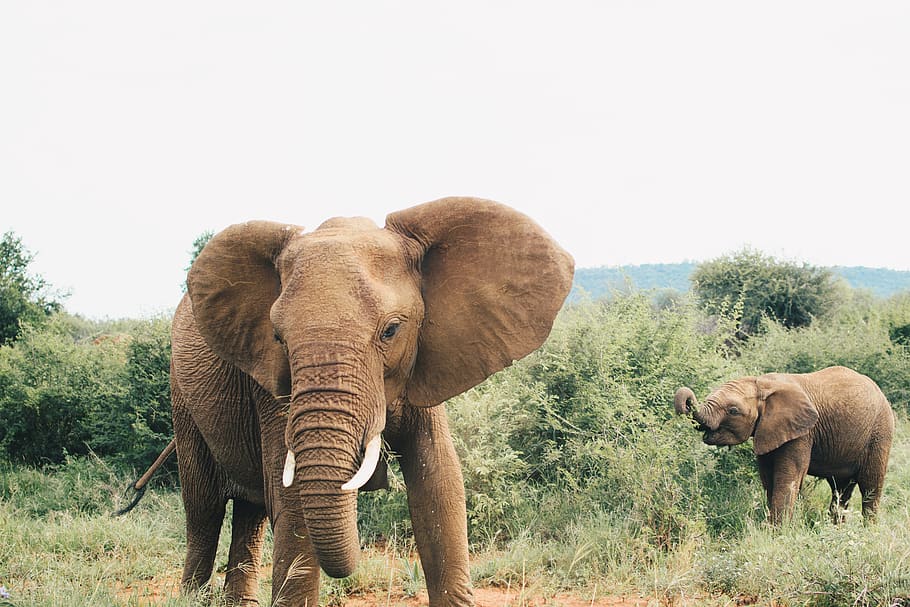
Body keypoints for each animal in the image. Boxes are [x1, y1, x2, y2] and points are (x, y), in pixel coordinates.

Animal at [169, 197, 574, 606]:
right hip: (182, 401)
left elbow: (438, 481)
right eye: (279, 338)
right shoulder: (271, 382)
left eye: (391, 330)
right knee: (204, 509)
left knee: (249, 511)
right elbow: (291, 499)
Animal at [674, 366, 894, 524]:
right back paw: (836, 530)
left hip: (880, 433)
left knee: (870, 487)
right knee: (841, 489)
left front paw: (778, 533)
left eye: (733, 411)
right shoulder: (767, 428)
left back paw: (867, 531)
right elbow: (768, 478)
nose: (688, 399)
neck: (763, 383)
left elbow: (787, 477)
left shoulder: (802, 433)